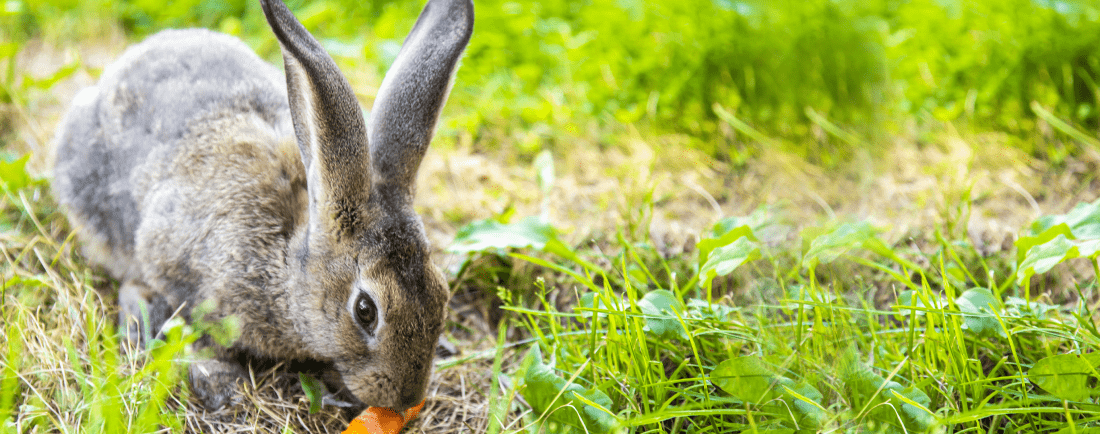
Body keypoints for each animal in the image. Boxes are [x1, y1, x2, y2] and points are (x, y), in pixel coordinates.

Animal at [51, 0, 473, 413]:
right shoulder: (175, 266)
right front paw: (222, 382)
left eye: (441, 294)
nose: (407, 399)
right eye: (365, 310)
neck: (286, 260)